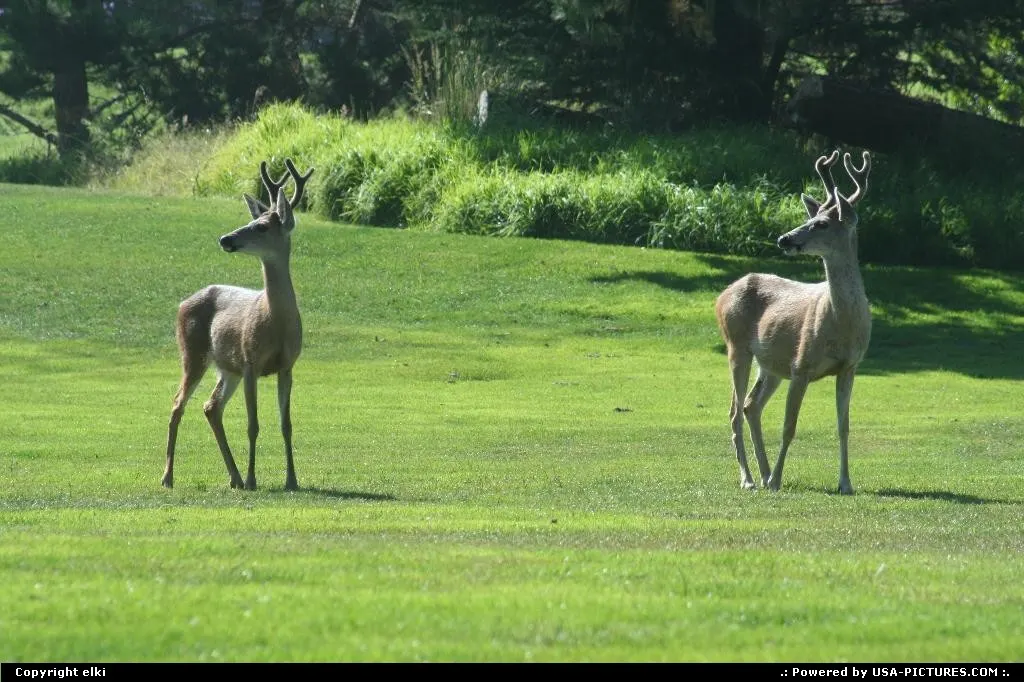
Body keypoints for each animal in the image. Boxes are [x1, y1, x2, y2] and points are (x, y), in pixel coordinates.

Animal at [163, 158, 314, 492]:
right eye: (252, 219)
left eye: (261, 226)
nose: (226, 239)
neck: (276, 323)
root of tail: (182, 303)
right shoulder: (250, 361)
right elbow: (252, 424)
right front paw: (254, 478)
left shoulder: (287, 366)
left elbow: (286, 424)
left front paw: (292, 480)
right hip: (193, 353)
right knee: (178, 403)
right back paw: (168, 477)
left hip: (226, 367)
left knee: (210, 407)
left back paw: (234, 478)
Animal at [714, 149, 872, 495]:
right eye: (809, 219)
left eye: (822, 223)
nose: (783, 239)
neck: (842, 323)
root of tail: (722, 295)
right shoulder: (802, 364)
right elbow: (789, 426)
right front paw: (777, 480)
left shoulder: (850, 367)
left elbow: (844, 426)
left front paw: (846, 483)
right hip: (737, 346)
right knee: (734, 411)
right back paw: (750, 479)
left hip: (771, 363)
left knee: (751, 405)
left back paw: (762, 473)